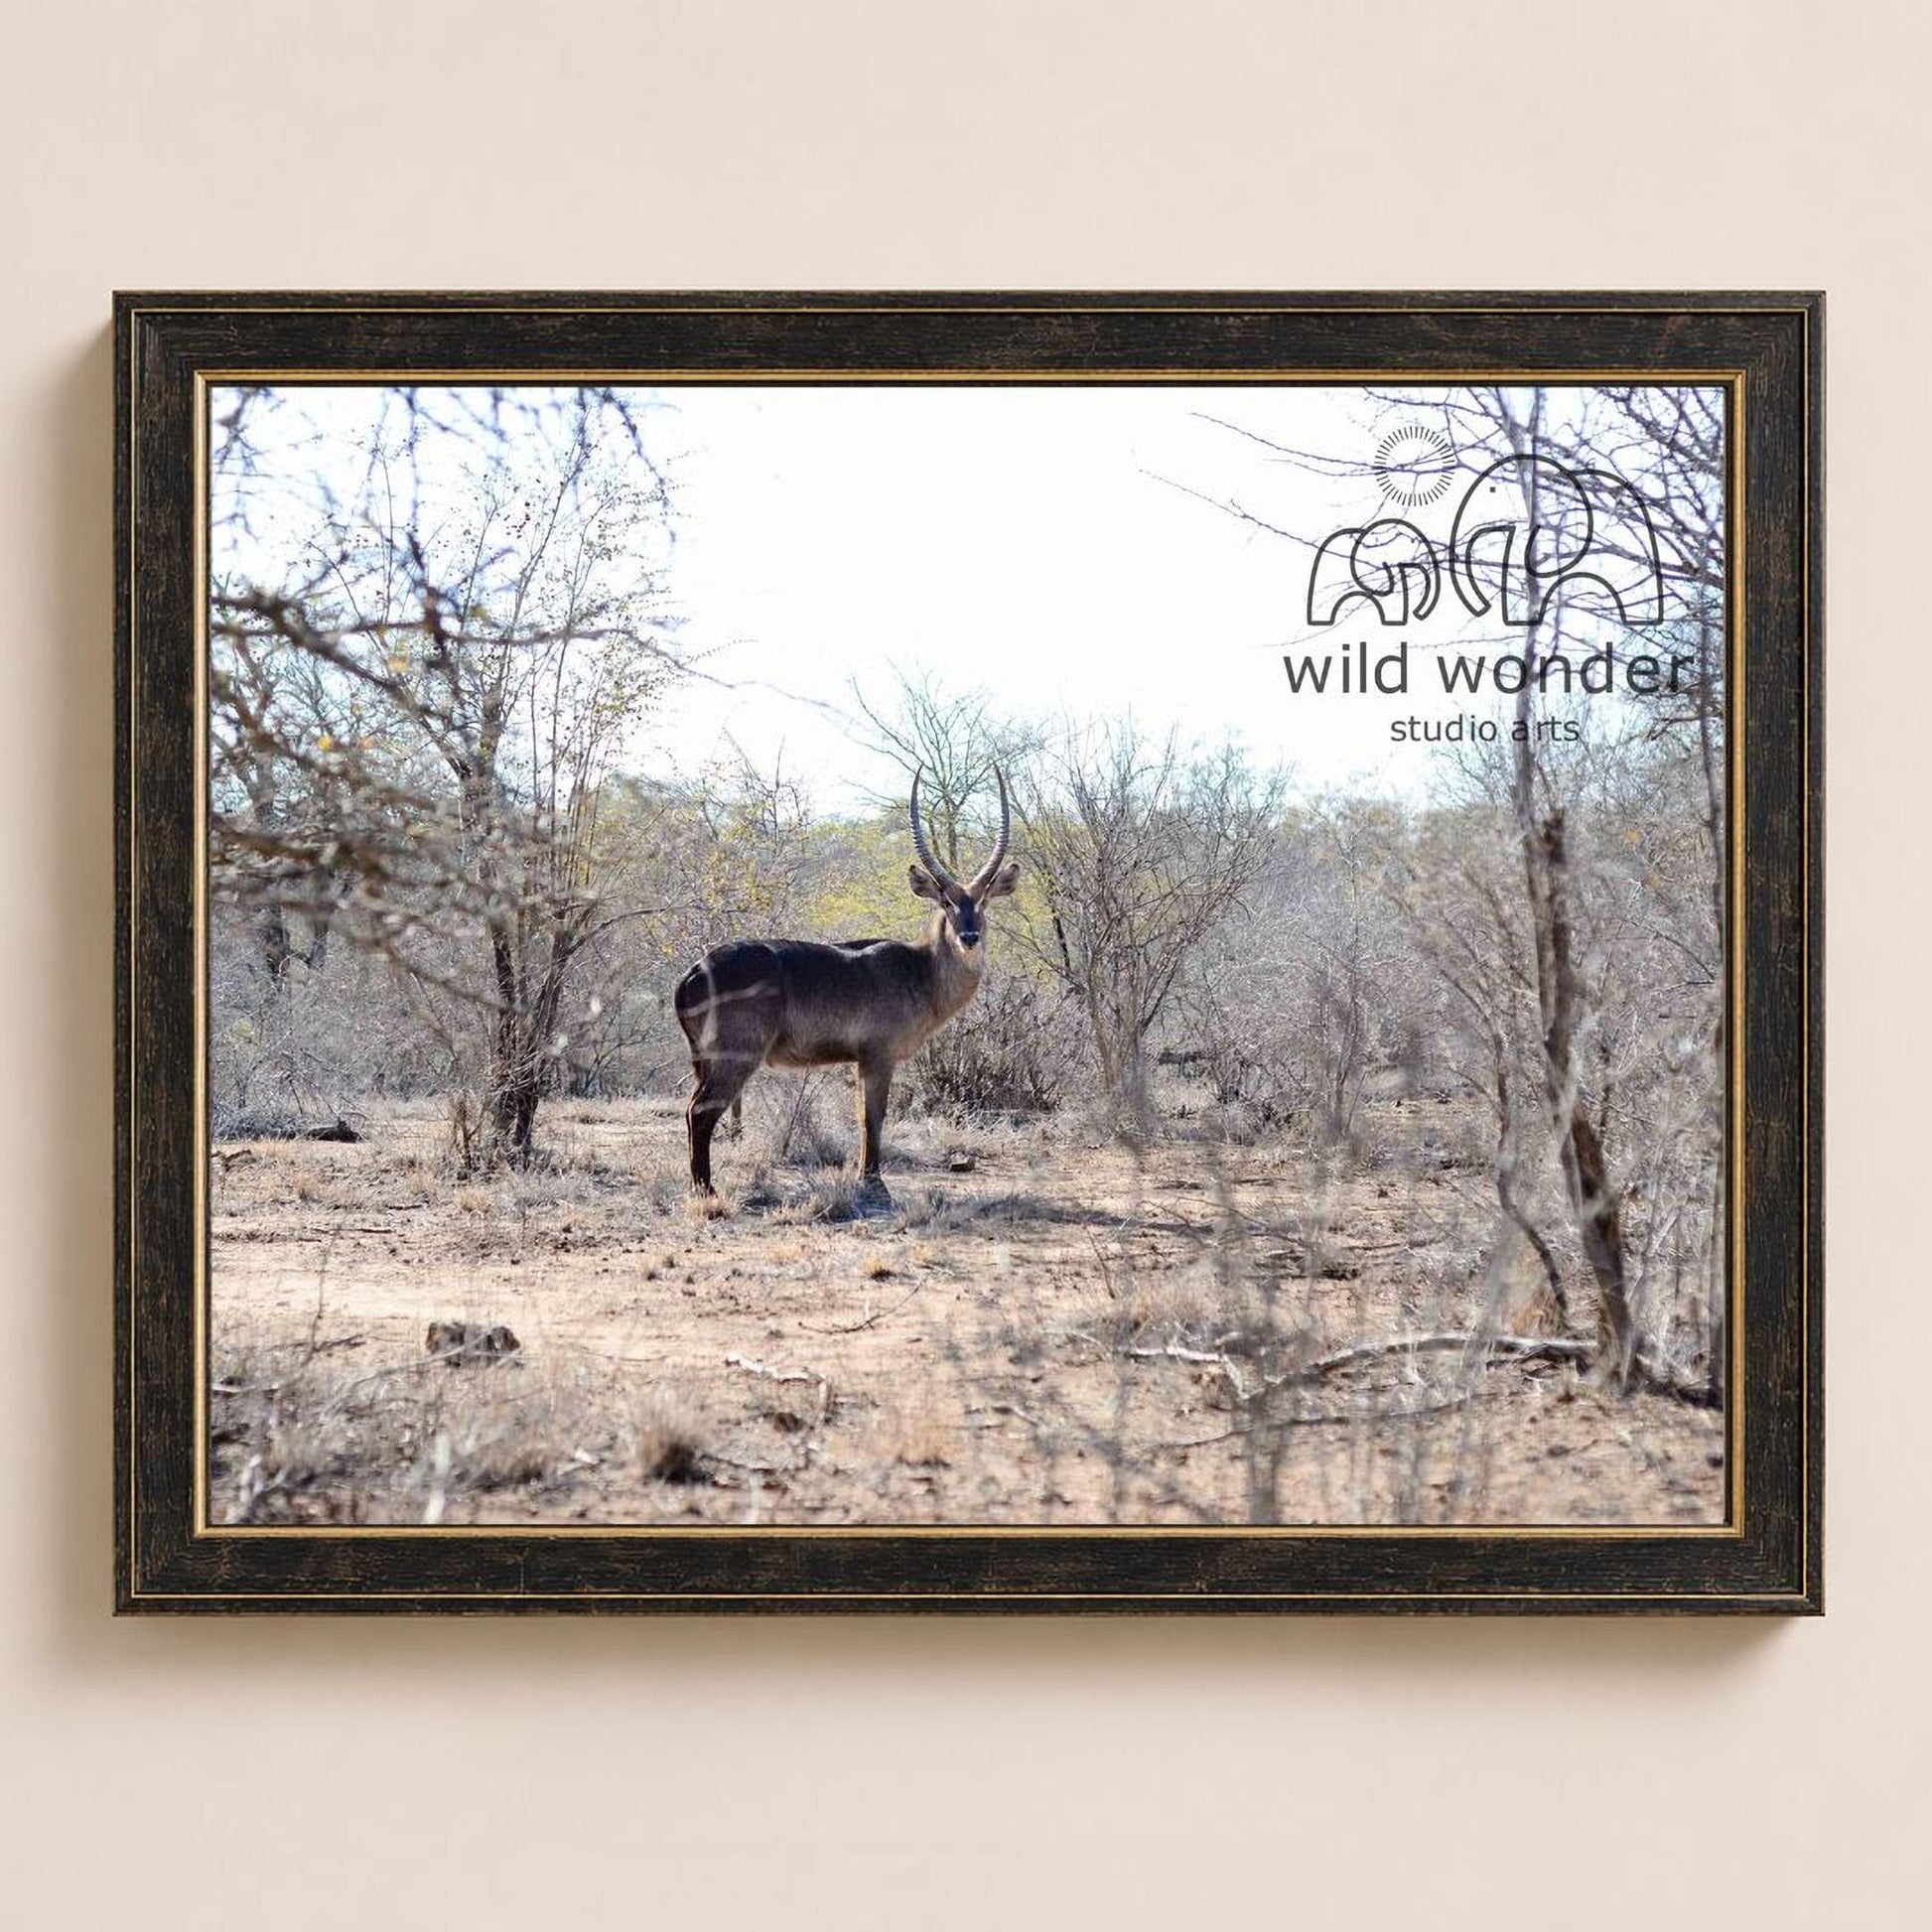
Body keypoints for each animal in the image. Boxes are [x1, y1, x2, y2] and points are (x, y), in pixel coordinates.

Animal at [674, 767, 1018, 1197]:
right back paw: (706, 1192)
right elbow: (874, 1116)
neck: (920, 970)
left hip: (703, 1060)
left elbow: (862, 1116)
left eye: (983, 902)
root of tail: (694, 971)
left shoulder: (861, 1059)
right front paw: (874, 1181)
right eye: (946, 902)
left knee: (692, 1111)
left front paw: (864, 1175)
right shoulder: (878, 1055)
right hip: (734, 1056)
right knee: (700, 1112)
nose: (969, 937)